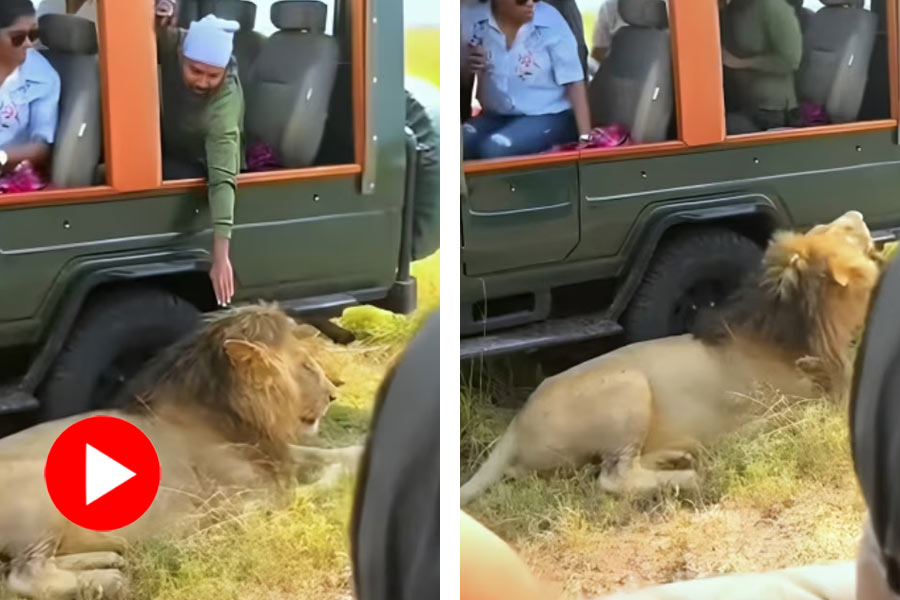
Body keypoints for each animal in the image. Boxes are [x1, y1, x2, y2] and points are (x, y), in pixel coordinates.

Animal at [0, 304, 362, 600]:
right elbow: (303, 490)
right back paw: (109, 580)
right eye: (306, 366)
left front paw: (359, 451)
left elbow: (328, 454)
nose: (333, 395)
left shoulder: (273, 453)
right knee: (23, 574)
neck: (232, 416)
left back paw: (107, 557)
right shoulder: (239, 496)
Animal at [460, 211, 884, 506]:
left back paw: (677, 455)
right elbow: (802, 416)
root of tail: (514, 427)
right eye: (843, 231)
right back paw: (689, 478)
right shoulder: (796, 399)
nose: (858, 214)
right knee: (612, 478)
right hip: (628, 387)